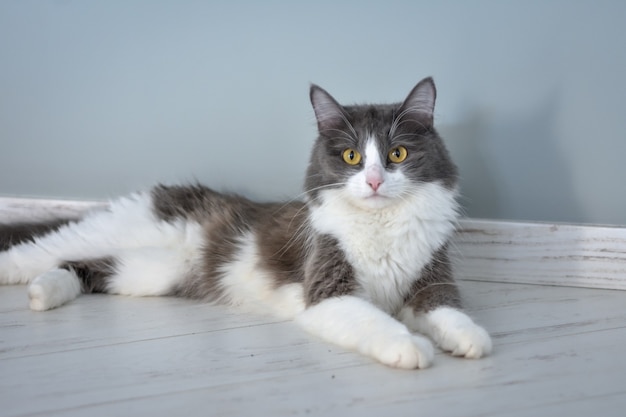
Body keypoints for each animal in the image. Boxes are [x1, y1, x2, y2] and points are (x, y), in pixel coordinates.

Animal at [0, 77, 492, 368]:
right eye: (352, 157)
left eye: (397, 154)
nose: (373, 181)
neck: (380, 225)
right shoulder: (328, 292)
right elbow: (379, 323)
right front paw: (411, 347)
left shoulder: (430, 280)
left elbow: (449, 312)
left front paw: (470, 339)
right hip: (122, 231)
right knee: (42, 249)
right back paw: (18, 275)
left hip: (151, 272)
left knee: (82, 266)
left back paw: (44, 294)